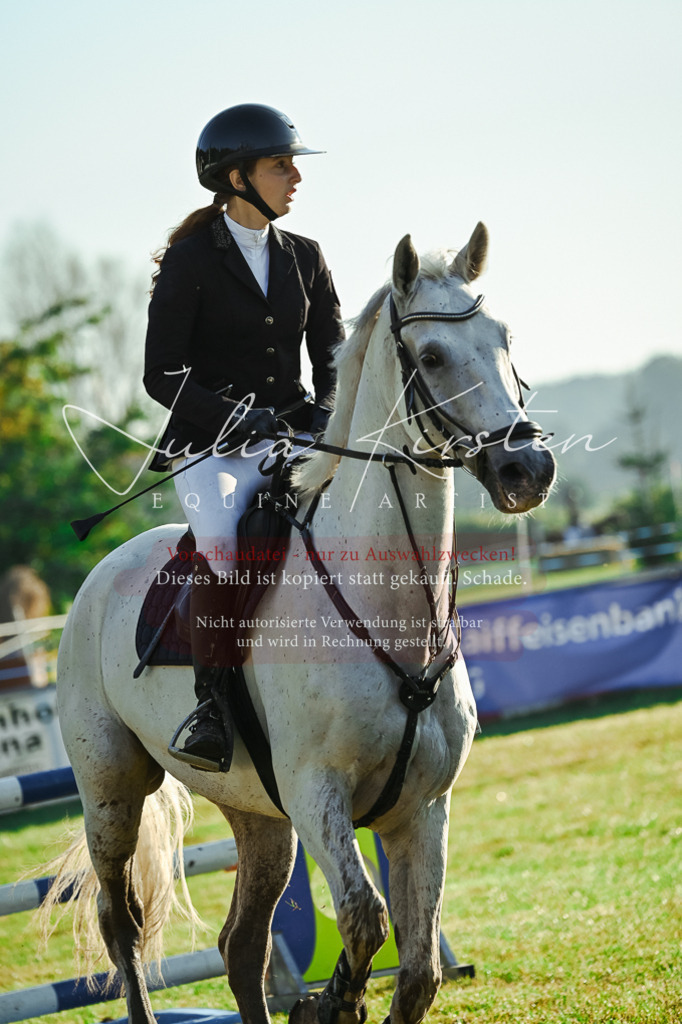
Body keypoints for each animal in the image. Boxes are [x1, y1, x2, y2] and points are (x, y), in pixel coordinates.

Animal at [47, 223, 556, 1024]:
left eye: (505, 339)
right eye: (432, 357)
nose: (527, 469)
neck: (388, 610)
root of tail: (99, 576)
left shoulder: (423, 810)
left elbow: (417, 971)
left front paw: (339, 997)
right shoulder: (318, 793)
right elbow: (363, 917)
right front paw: (331, 1001)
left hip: (260, 818)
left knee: (241, 945)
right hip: (112, 790)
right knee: (117, 919)